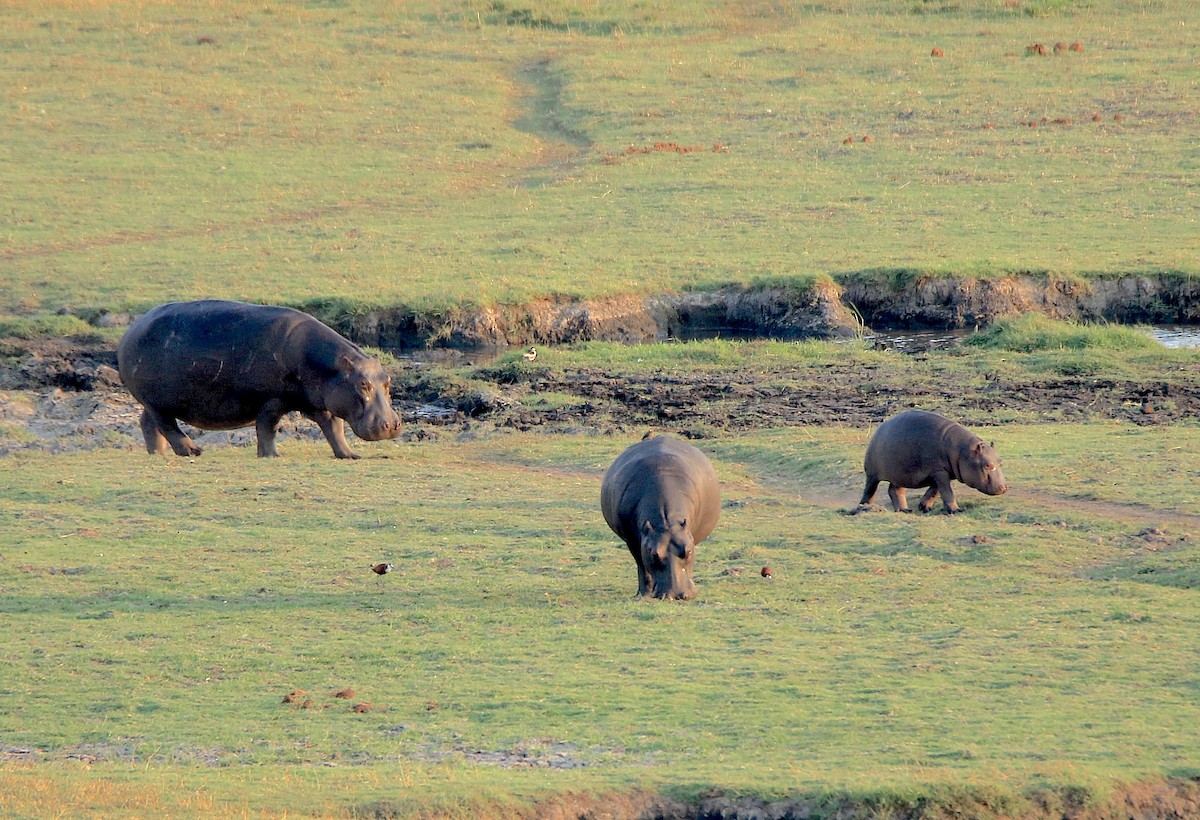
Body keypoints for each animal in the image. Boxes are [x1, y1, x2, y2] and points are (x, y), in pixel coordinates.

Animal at [117, 300, 401, 459]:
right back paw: (192, 450)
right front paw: (272, 456)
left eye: (387, 381)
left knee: (147, 422)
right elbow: (267, 427)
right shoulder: (272, 400)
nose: (391, 425)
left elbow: (334, 429)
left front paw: (351, 455)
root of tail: (131, 329)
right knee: (166, 425)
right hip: (158, 402)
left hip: (154, 402)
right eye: (363, 384)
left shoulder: (320, 402)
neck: (330, 367)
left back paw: (158, 453)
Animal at [600, 435, 721, 600]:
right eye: (654, 554)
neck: (667, 523)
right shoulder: (633, 541)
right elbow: (642, 566)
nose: (677, 594)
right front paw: (643, 595)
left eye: (688, 551)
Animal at [859, 409, 1007, 514]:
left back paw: (905, 510)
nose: (1004, 488)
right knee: (870, 491)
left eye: (1001, 462)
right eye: (987, 465)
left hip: (899, 474)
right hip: (872, 475)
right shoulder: (939, 472)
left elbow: (935, 490)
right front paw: (956, 510)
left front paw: (924, 507)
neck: (963, 452)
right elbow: (947, 492)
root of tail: (879, 428)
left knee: (894, 490)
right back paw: (865, 507)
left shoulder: (942, 472)